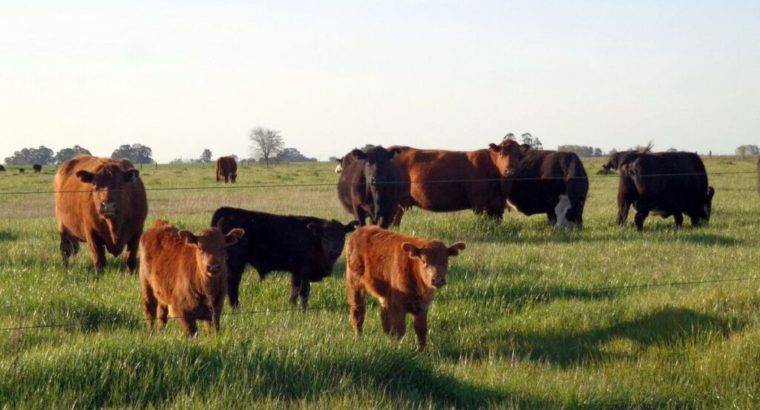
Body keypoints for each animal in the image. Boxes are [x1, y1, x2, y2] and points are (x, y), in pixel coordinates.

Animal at [209, 207, 358, 310]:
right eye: (325, 236)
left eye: (342, 235)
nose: (334, 250)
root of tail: (227, 211)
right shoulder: (303, 271)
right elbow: (304, 292)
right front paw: (304, 311)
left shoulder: (296, 273)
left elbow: (295, 290)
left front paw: (292, 307)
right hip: (235, 265)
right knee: (232, 286)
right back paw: (236, 308)